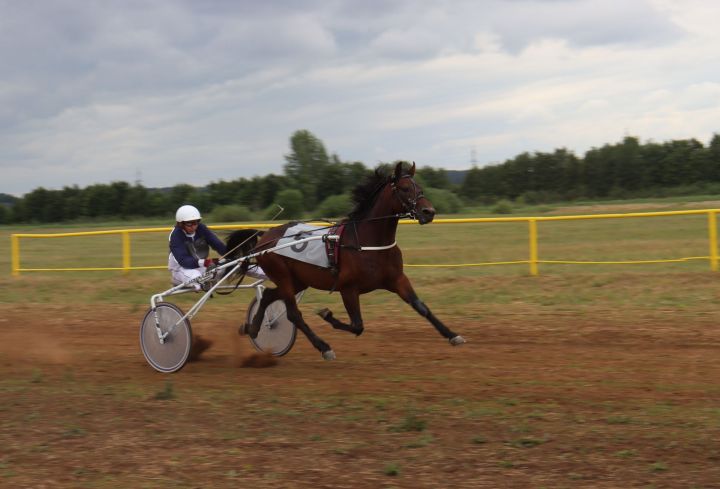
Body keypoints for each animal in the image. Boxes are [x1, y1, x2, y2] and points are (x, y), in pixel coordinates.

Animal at [225, 160, 466, 358]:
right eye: (405, 189)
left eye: (420, 188)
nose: (429, 212)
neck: (368, 242)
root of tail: (265, 236)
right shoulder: (348, 288)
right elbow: (357, 325)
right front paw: (326, 314)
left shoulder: (397, 279)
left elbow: (421, 307)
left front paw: (453, 335)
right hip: (282, 275)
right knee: (293, 314)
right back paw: (323, 347)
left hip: (298, 280)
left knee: (267, 297)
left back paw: (252, 328)